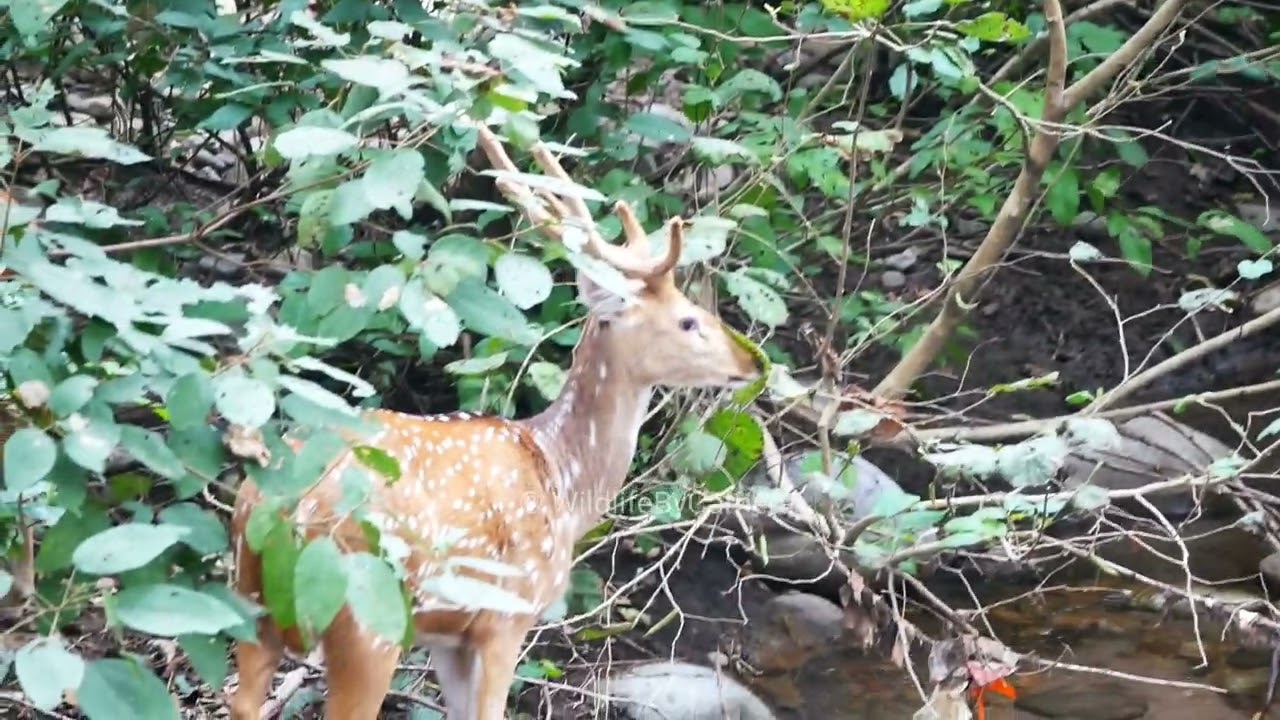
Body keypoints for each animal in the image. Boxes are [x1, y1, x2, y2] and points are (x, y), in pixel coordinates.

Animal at [226, 123, 764, 720]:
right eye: (689, 320)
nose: (752, 362)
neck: (562, 480)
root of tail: (277, 507)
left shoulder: (448, 636)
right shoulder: (507, 615)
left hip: (248, 603)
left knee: (240, 698)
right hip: (366, 616)